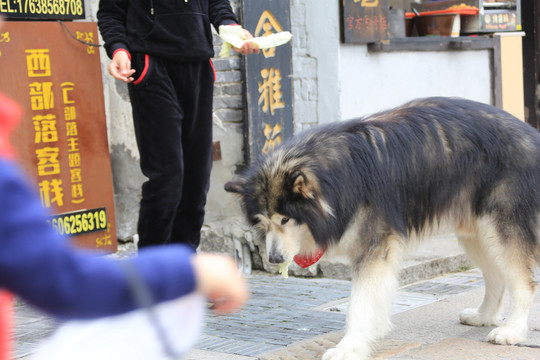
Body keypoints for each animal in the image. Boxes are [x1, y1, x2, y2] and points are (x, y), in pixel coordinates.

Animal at [225, 96, 540, 360]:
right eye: (263, 222)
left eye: (285, 219)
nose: (274, 259)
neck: (339, 176)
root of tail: (531, 133)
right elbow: (375, 296)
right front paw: (371, 332)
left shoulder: (374, 246)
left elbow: (359, 302)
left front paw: (350, 346)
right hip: (475, 230)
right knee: (496, 276)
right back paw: (484, 315)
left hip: (500, 225)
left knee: (522, 282)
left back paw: (512, 330)